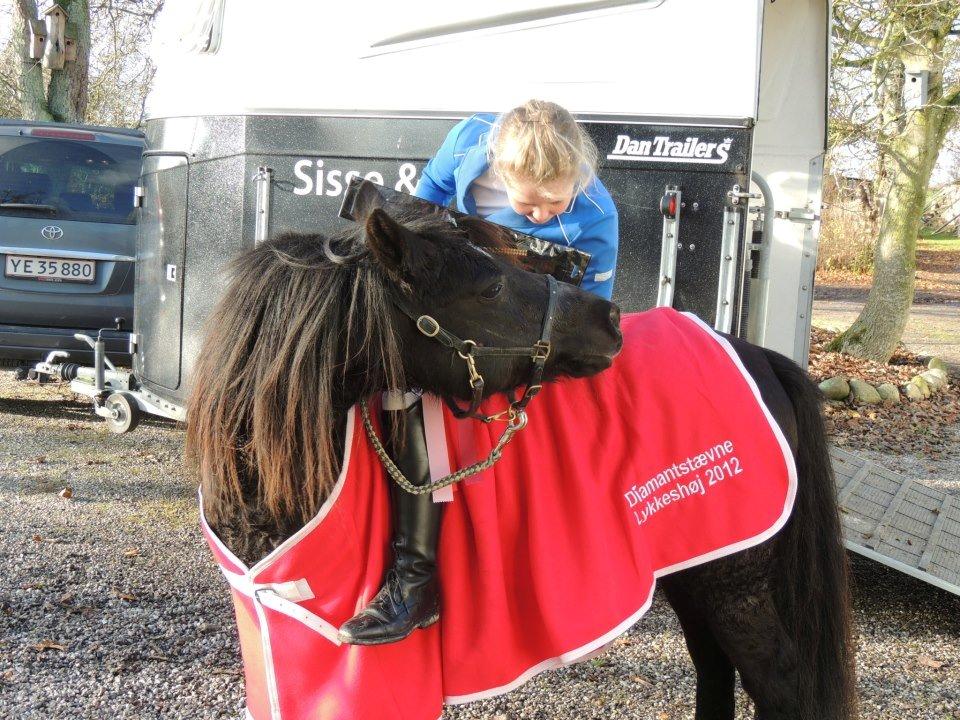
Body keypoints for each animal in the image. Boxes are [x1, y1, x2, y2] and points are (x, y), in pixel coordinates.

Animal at [188, 204, 856, 720]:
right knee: (713, 671)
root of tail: (756, 354)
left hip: (737, 582)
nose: (609, 319)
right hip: (699, 567)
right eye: (490, 287)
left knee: (780, 686)